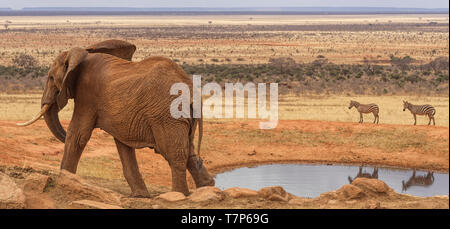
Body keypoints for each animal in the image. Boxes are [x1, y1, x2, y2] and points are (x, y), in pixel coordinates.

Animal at [17, 39, 214, 197]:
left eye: (51, 78)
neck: (80, 55)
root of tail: (191, 88)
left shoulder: (87, 95)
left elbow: (78, 134)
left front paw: (64, 180)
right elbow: (123, 143)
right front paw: (141, 196)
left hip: (167, 115)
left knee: (174, 152)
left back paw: (179, 195)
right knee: (189, 151)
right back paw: (207, 187)